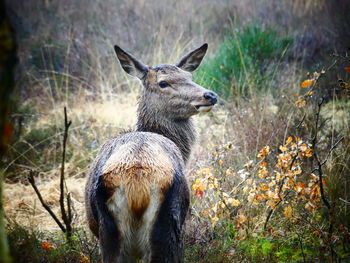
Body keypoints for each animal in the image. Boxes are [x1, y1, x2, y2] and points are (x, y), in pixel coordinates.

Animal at [85, 43, 217, 263]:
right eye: (163, 83)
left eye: (189, 77)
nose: (210, 95)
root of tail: (137, 185)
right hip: (169, 227)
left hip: (109, 234)